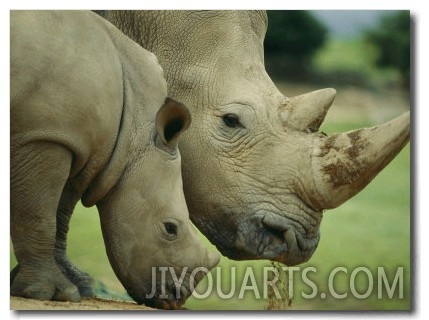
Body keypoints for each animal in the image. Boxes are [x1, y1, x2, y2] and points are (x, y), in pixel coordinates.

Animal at [10, 11, 219, 308]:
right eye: (170, 228)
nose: (176, 298)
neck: (137, 128)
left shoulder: (79, 146)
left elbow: (60, 214)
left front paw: (75, 289)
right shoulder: (45, 135)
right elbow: (40, 215)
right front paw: (50, 293)